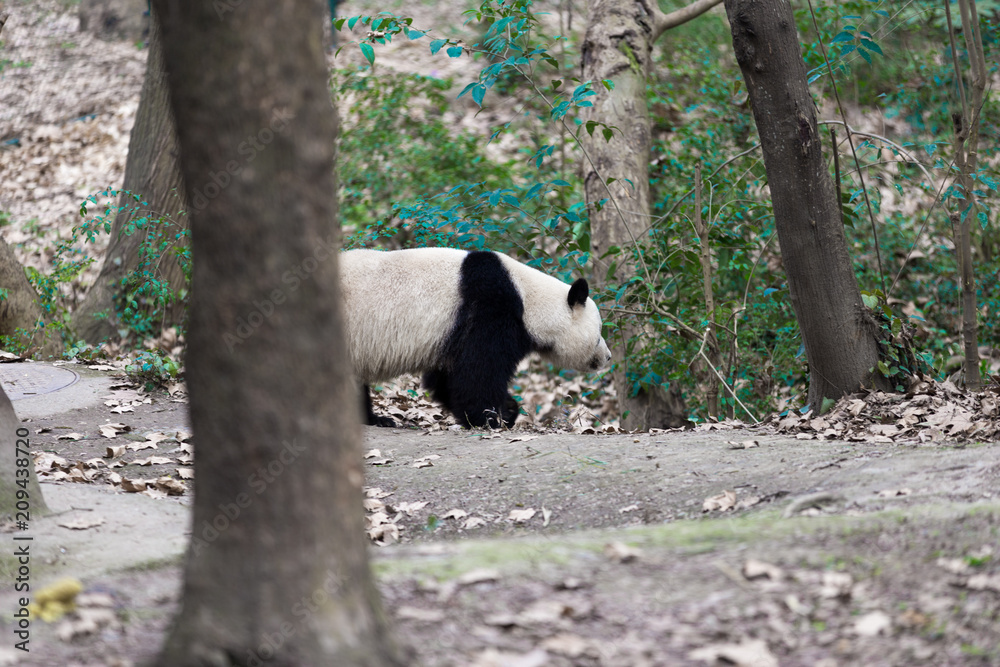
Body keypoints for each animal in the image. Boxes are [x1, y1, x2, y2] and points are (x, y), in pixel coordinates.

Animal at [340, 248, 612, 430]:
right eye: (599, 333)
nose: (608, 357)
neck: (529, 298)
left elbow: (446, 378)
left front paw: (505, 409)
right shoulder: (490, 309)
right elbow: (478, 371)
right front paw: (492, 417)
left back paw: (374, 419)